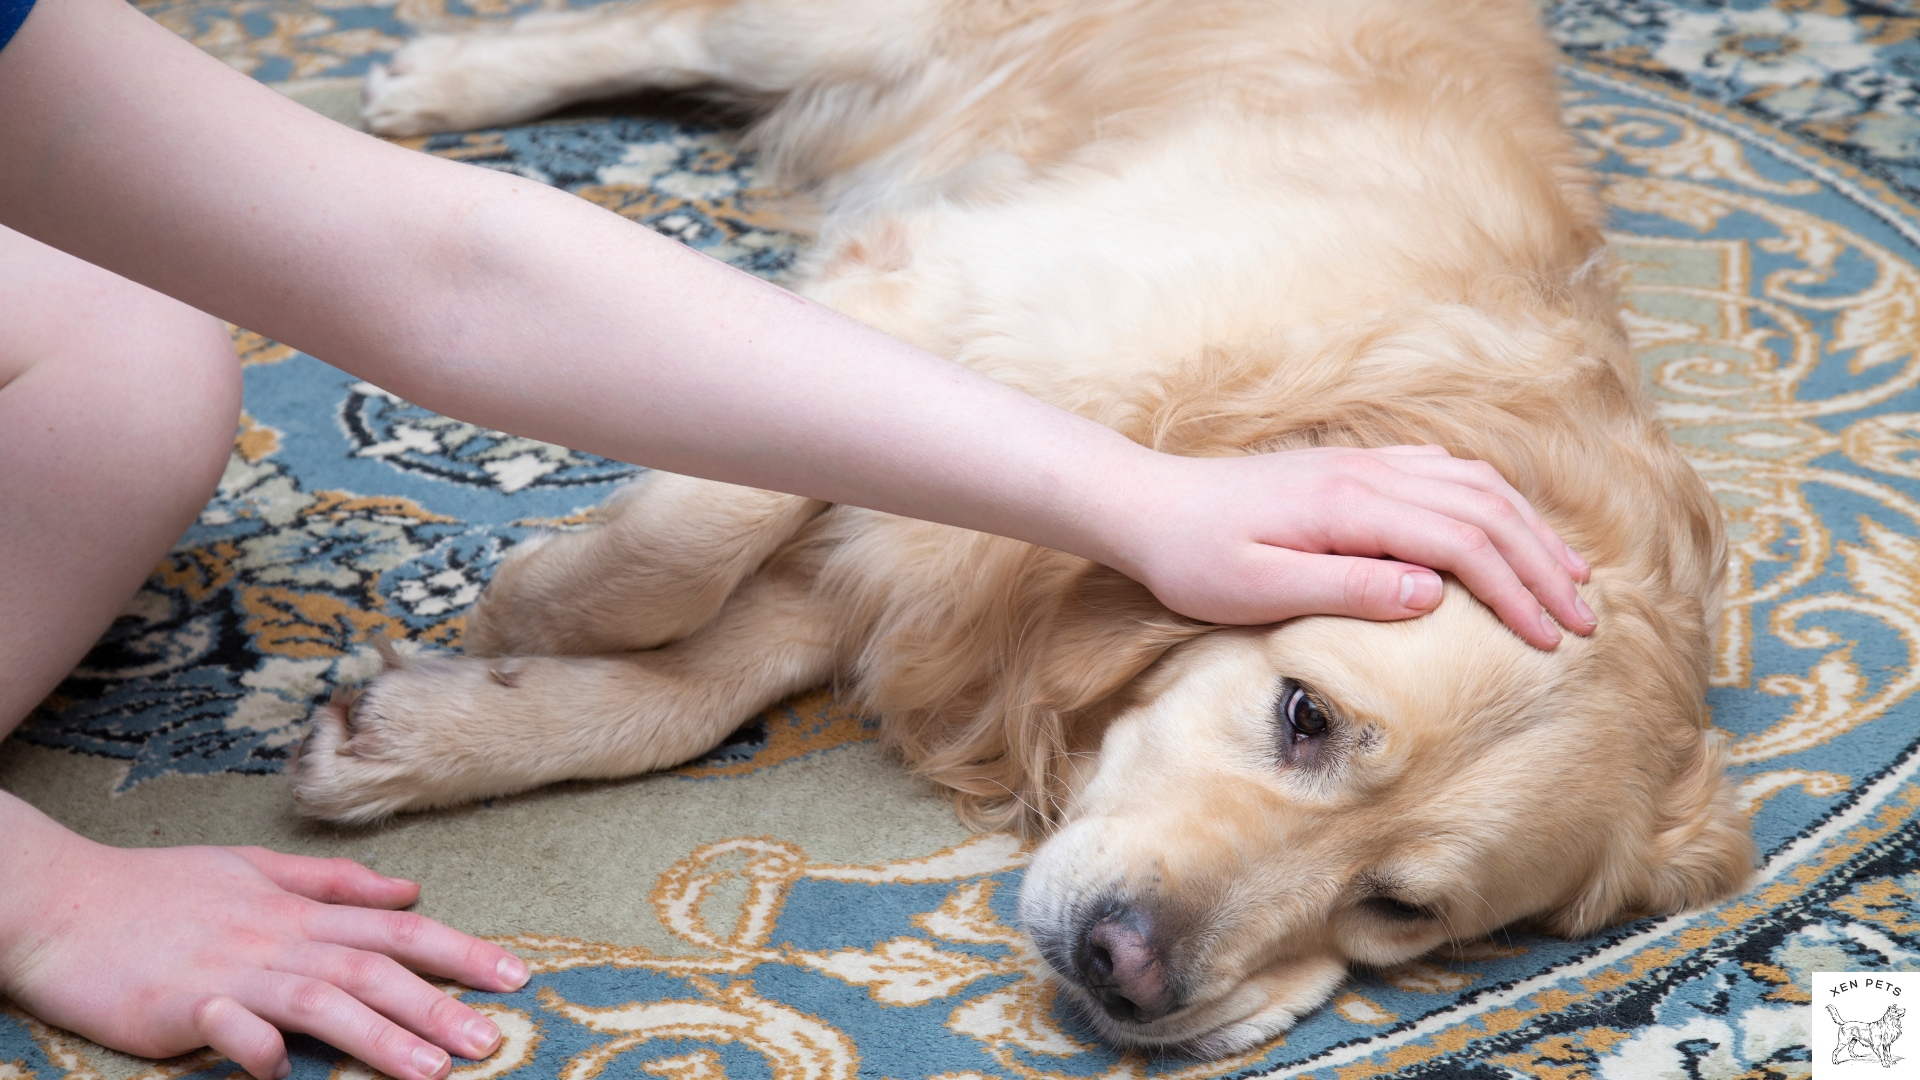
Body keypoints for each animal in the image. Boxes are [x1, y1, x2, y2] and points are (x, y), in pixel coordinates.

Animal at [284, 0, 1758, 1053]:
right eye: (1305, 716)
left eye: (1403, 907)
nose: (1129, 970)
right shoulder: (937, 297)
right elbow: (696, 533)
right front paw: (530, 598)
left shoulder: (922, 568)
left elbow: (701, 683)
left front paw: (435, 729)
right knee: (672, 30)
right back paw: (441, 81)